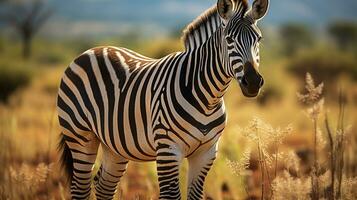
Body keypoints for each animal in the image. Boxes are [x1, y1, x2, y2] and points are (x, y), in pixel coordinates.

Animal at [57, 0, 270, 198]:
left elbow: (195, 194)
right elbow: (171, 195)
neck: (208, 98)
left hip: (114, 145)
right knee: (80, 188)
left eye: (259, 39)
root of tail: (91, 50)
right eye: (229, 39)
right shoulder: (168, 150)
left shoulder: (206, 152)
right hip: (80, 137)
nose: (253, 82)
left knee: (103, 186)